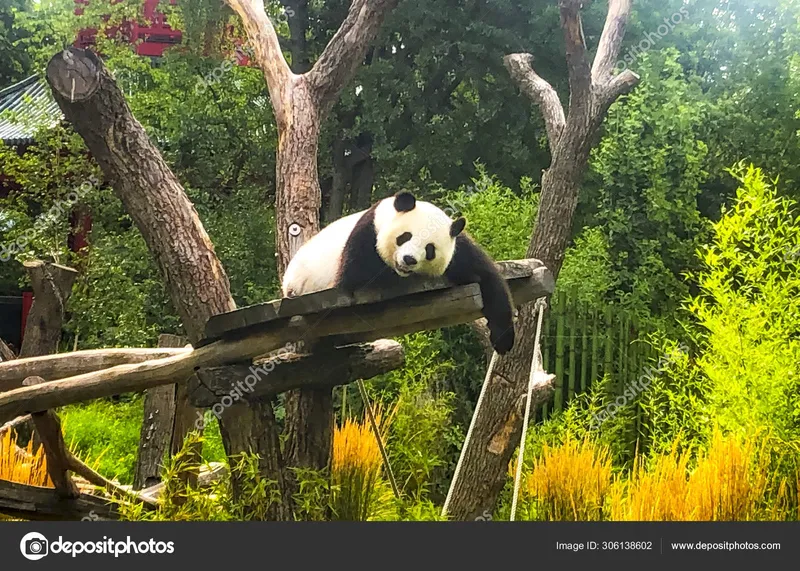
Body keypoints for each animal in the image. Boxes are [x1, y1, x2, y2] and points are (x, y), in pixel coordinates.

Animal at [282, 192, 516, 354]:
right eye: (405, 236)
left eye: (430, 249)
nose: (409, 260)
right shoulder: (365, 238)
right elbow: (359, 281)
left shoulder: (459, 250)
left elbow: (489, 278)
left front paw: (503, 340)